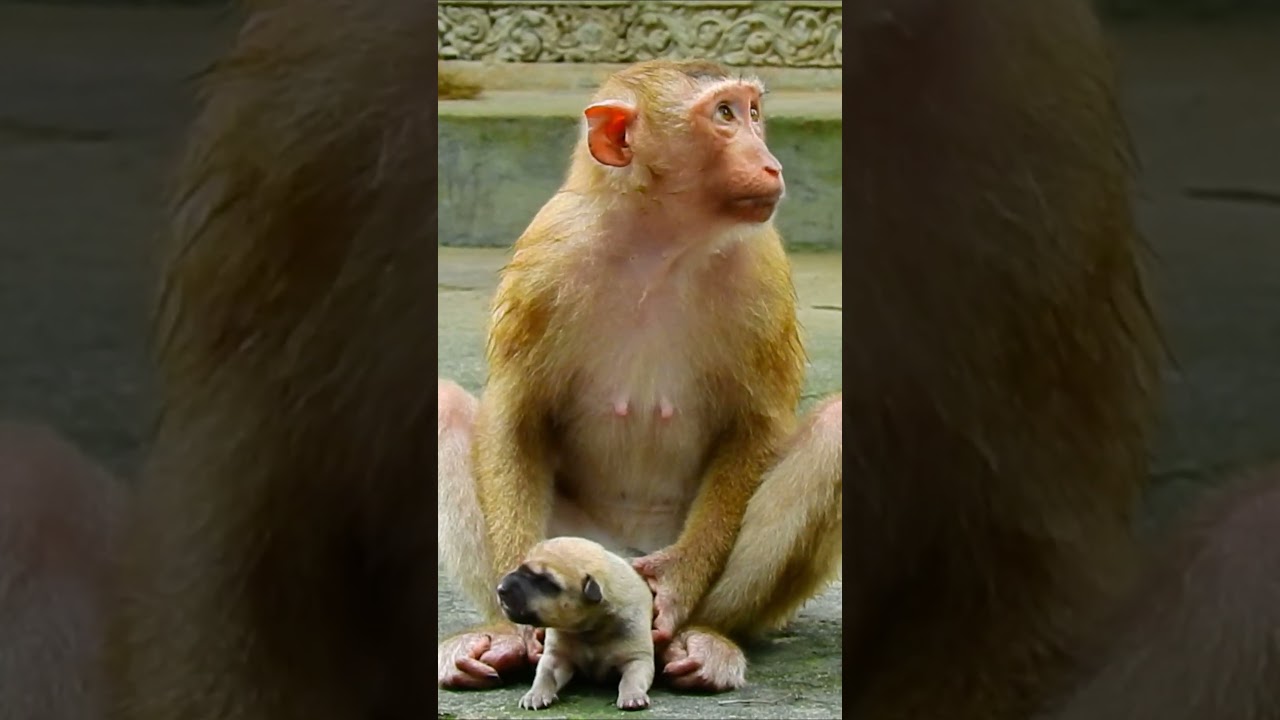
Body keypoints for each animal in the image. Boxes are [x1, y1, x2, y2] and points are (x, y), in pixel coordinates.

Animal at [437, 57, 845, 694]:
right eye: (725, 114)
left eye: (753, 112)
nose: (771, 163)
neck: (659, 242)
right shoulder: (546, 255)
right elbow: (516, 416)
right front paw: (520, 623)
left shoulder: (763, 266)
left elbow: (755, 426)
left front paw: (679, 582)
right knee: (445, 407)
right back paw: (499, 638)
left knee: (834, 429)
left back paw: (703, 639)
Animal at [496, 537, 656, 712]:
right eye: (520, 568)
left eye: (546, 581)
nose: (500, 588)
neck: (589, 629)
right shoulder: (556, 656)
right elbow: (545, 675)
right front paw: (535, 694)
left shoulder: (637, 658)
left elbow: (631, 678)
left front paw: (632, 695)